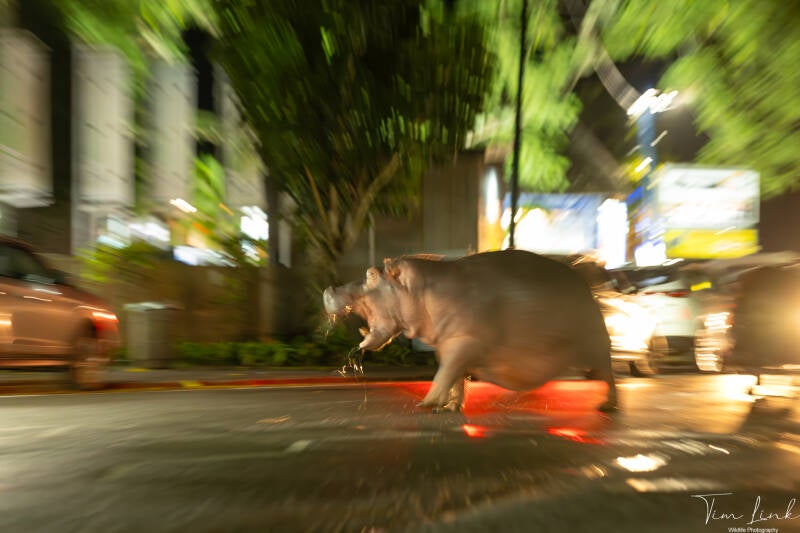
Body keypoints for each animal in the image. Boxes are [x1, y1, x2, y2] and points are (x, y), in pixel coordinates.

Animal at [323, 250, 617, 412]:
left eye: (371, 274)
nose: (328, 289)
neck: (420, 290)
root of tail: (585, 281)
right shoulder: (448, 346)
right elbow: (454, 378)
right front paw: (449, 407)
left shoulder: (466, 342)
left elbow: (444, 375)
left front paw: (426, 404)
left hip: (597, 344)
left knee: (609, 374)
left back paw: (607, 407)